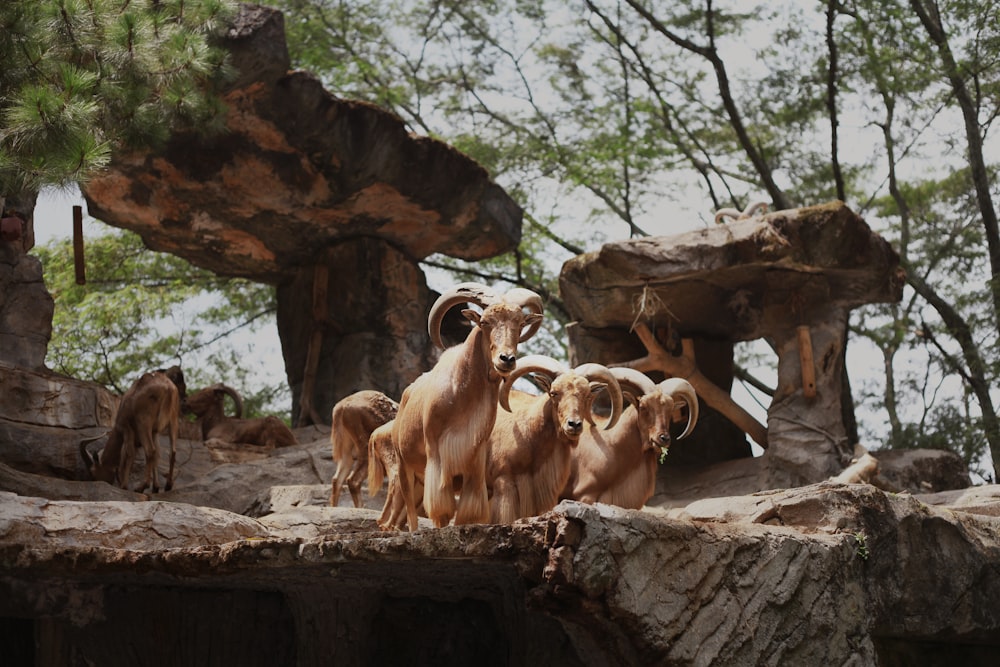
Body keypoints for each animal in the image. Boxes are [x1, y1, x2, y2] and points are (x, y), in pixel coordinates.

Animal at [392, 282, 548, 532]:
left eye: (520, 324)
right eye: (484, 322)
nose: (506, 359)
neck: (461, 397)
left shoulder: (475, 460)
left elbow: (469, 510)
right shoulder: (437, 453)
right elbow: (441, 508)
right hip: (404, 466)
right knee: (410, 512)